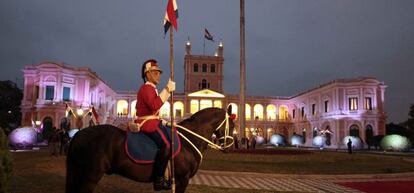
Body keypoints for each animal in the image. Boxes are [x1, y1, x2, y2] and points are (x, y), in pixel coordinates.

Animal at [64, 106, 233, 192]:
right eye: (231, 125)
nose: (230, 148)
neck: (189, 139)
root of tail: (79, 134)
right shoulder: (182, 180)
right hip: (90, 177)